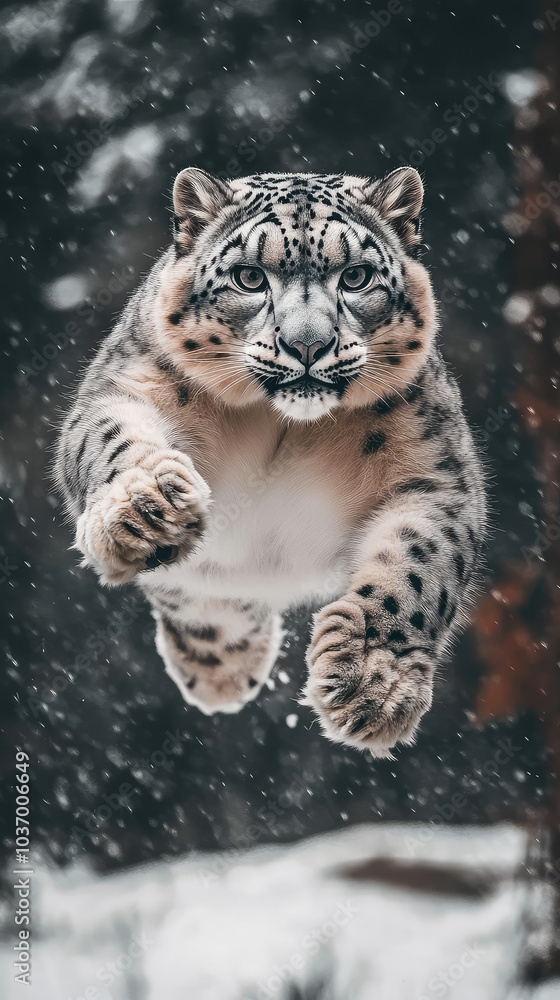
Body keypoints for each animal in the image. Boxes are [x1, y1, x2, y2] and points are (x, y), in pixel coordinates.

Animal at [55, 166, 487, 758]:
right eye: (249, 278)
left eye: (355, 277)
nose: (308, 345)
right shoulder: (128, 386)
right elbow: (111, 437)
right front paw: (146, 510)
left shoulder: (435, 470)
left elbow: (416, 567)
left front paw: (371, 683)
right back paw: (220, 667)